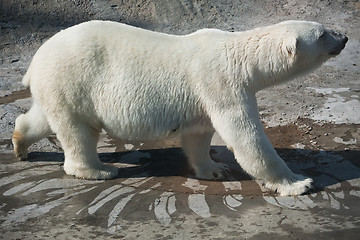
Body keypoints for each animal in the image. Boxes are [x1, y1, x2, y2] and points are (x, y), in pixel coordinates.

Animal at [12, 20, 348, 195]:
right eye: (322, 33)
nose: (344, 37)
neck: (239, 57)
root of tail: (36, 60)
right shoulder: (221, 83)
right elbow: (246, 137)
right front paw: (298, 182)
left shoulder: (203, 97)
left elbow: (198, 135)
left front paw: (215, 169)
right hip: (74, 80)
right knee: (79, 131)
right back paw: (98, 170)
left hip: (56, 86)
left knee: (45, 117)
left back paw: (20, 144)